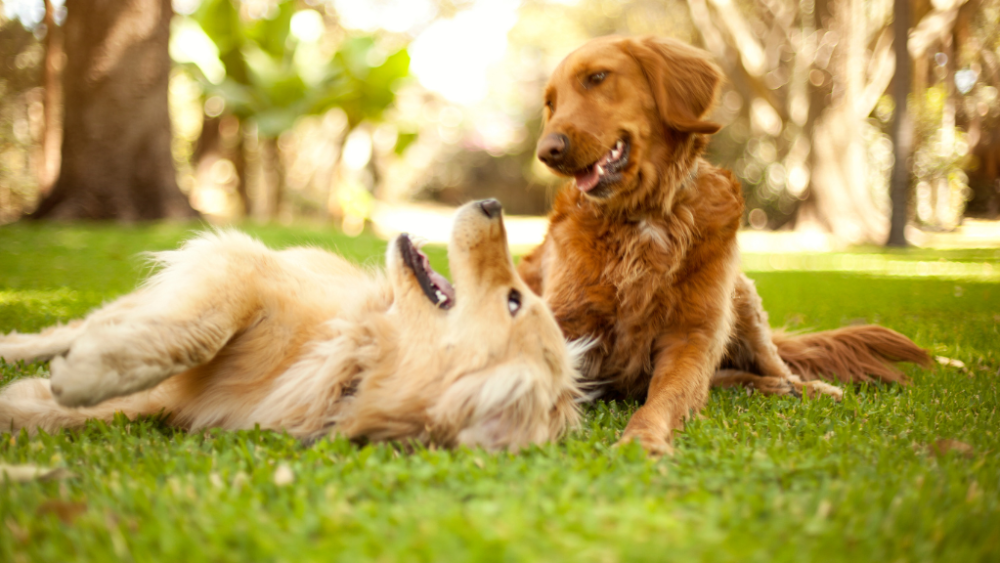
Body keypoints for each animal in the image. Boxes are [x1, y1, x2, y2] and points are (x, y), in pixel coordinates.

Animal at [0, 200, 584, 452]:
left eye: (514, 300)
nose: (492, 202)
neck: (353, 358)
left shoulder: (175, 402)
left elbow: (76, 412)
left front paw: (38, 399)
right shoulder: (240, 268)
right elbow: (198, 333)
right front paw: (86, 375)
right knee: (72, 328)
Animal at [520, 35, 932, 456]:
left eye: (597, 77)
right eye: (551, 103)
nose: (547, 151)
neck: (644, 217)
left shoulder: (692, 336)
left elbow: (665, 398)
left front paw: (642, 439)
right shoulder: (564, 322)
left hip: (742, 299)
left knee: (773, 365)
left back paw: (803, 387)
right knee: (727, 378)